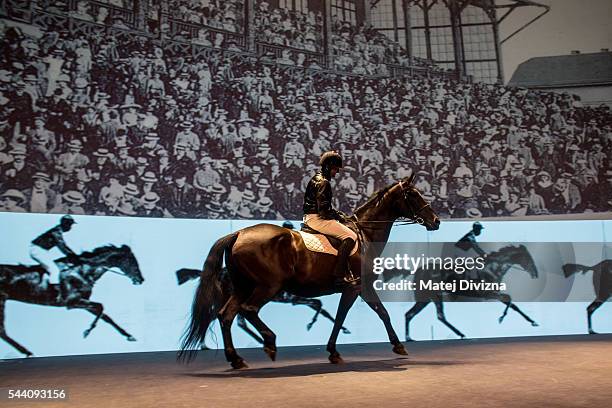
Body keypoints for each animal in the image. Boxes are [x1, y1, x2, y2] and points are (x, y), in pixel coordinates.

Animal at [0, 244, 144, 356]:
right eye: (132, 261)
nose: (141, 280)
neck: (82, 272)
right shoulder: (72, 303)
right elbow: (101, 307)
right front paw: (87, 332)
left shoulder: (83, 301)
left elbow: (106, 316)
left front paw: (129, 336)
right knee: (2, 331)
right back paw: (27, 352)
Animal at [178, 175, 440, 370]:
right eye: (413, 195)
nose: (436, 221)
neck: (364, 233)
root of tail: (238, 234)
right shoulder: (357, 286)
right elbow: (370, 314)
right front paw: (396, 346)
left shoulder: (353, 289)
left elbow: (352, 315)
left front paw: (336, 352)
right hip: (267, 287)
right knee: (248, 310)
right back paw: (269, 343)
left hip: (243, 286)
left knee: (226, 315)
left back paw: (237, 359)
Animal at [384, 245, 536, 342]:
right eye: (527, 258)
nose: (535, 273)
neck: (493, 268)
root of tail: (417, 270)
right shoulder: (488, 293)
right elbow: (509, 299)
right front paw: (501, 318)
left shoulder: (494, 293)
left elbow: (512, 303)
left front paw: (533, 321)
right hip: (433, 296)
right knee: (439, 316)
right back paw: (461, 334)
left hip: (425, 299)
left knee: (410, 314)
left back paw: (409, 338)